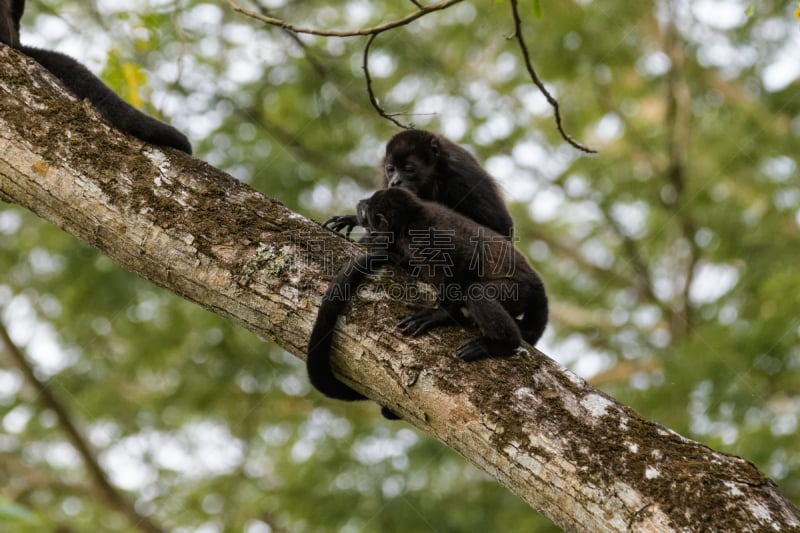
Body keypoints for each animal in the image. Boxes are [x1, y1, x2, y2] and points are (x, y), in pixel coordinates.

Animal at [308, 187, 552, 416]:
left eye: (366, 211)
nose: (360, 203)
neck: (407, 223)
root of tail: (539, 287)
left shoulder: (426, 233)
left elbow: (467, 258)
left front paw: (441, 314)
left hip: (520, 292)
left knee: (475, 291)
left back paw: (504, 342)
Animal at [324, 130, 512, 241]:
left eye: (409, 169)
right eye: (391, 169)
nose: (395, 181)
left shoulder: (463, 175)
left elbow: (501, 228)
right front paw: (357, 216)